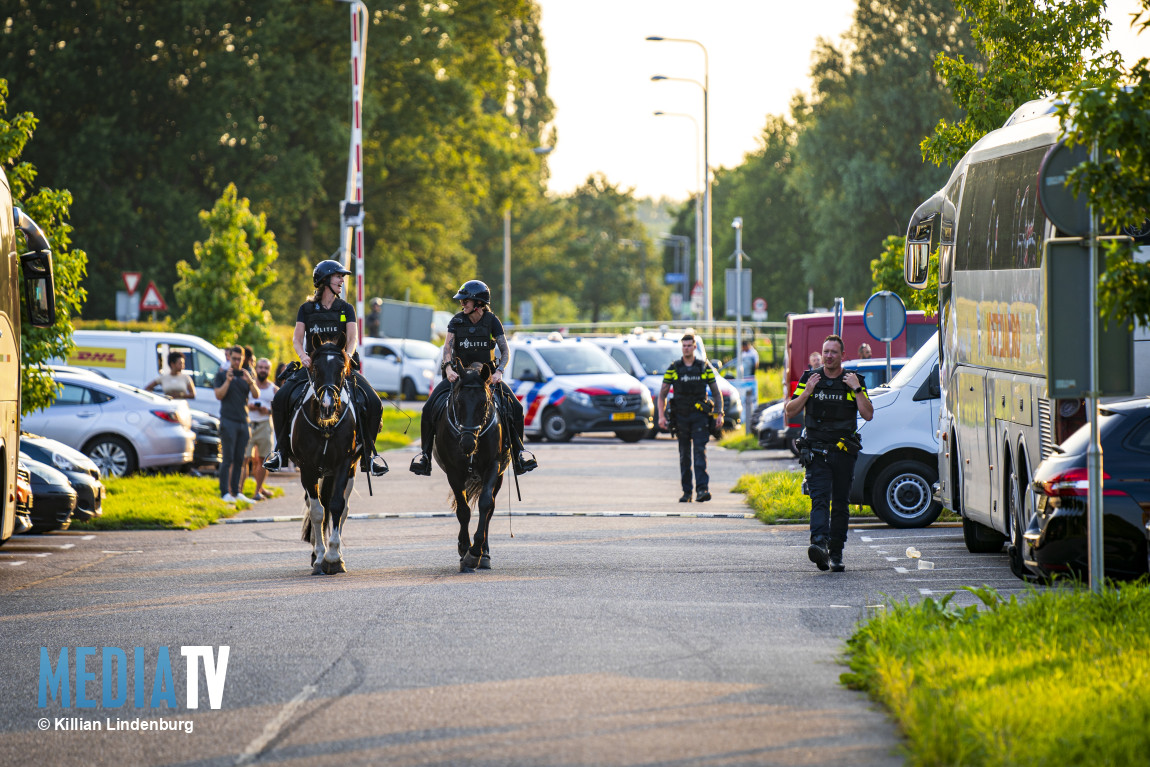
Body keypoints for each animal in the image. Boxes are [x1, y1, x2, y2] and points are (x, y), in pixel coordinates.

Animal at [292, 342, 358, 574]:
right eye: (316, 369)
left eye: (341, 369)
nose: (328, 406)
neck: (326, 427)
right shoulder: (307, 469)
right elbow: (317, 512)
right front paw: (320, 557)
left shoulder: (343, 465)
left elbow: (336, 506)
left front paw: (333, 557)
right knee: (315, 506)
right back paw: (316, 554)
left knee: (343, 509)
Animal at [432, 363, 512, 572]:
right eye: (459, 402)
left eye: (484, 403)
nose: (467, 443)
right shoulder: (454, 472)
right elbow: (463, 510)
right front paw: (464, 548)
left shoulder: (493, 467)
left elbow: (485, 504)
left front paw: (476, 552)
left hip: (498, 477)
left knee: (490, 509)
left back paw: (484, 554)